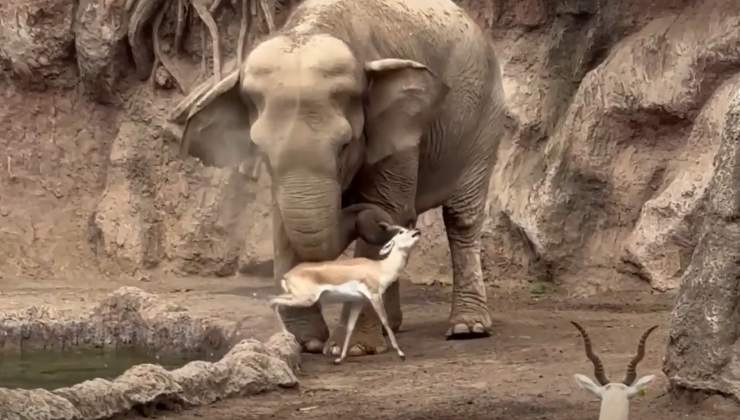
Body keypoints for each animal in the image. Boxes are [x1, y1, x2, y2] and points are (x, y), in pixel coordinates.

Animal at [175, 0, 506, 357]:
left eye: (345, 145)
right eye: (260, 149)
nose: (366, 216)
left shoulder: (398, 129)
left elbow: (385, 202)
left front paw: (353, 348)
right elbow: (283, 224)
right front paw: (308, 342)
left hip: (485, 121)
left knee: (460, 216)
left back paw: (467, 328)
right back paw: (394, 326)